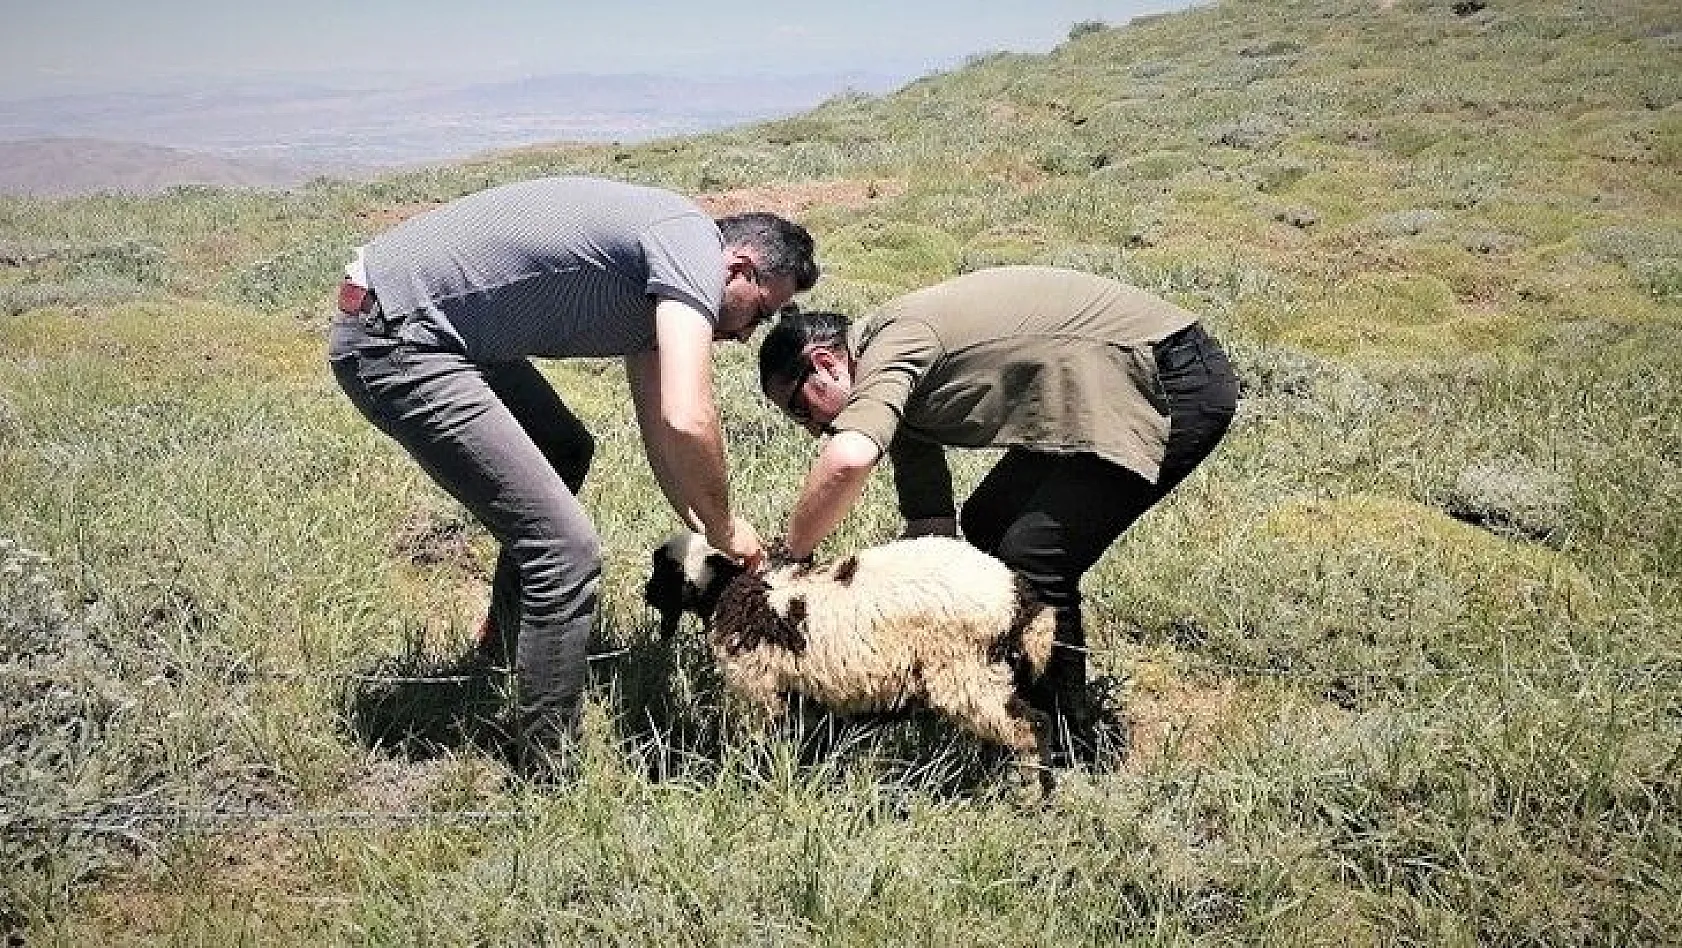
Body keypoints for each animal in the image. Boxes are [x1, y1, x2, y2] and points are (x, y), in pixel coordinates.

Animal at [645, 534, 1056, 793]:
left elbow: (756, 744)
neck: (729, 590)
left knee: (1030, 727)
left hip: (965, 674)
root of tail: (1018, 598)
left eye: (663, 569)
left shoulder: (757, 690)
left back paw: (1033, 795)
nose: (646, 593)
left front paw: (744, 778)